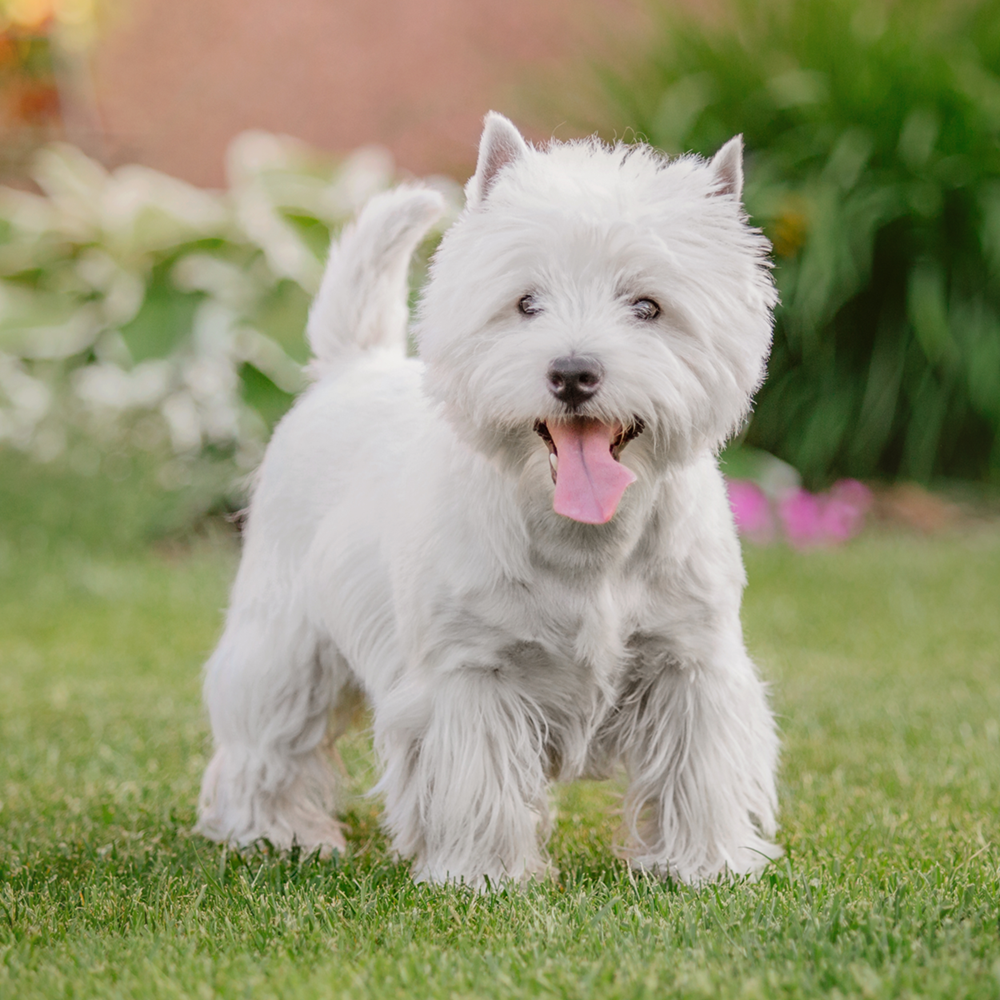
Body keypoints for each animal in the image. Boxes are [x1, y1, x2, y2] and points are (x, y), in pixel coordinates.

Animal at [197, 113, 780, 888]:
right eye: (526, 302)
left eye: (648, 306)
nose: (573, 372)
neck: (587, 541)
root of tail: (354, 366)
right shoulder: (471, 672)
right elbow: (480, 777)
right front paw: (484, 875)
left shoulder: (691, 660)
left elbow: (700, 769)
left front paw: (706, 864)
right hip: (287, 636)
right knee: (267, 736)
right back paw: (273, 831)